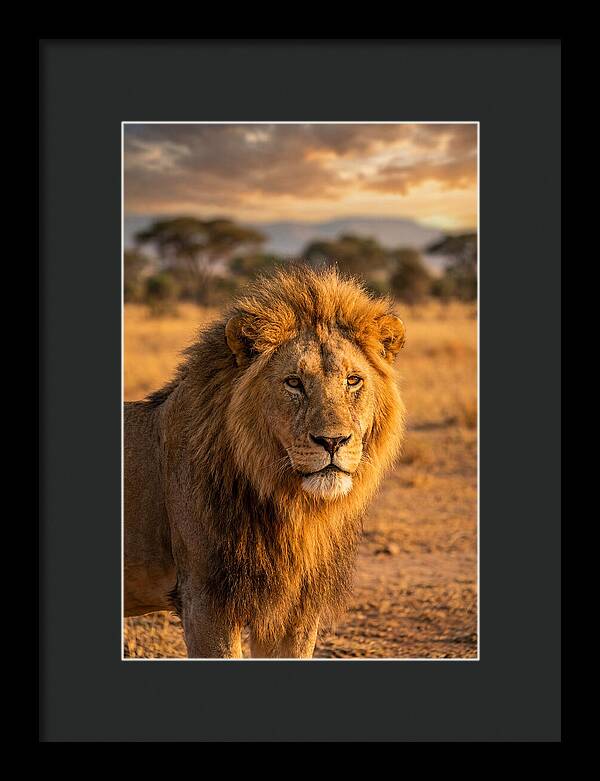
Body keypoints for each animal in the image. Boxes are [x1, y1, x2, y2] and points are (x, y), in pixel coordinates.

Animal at [124, 266, 406, 658]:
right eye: (294, 383)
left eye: (353, 381)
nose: (332, 441)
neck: (293, 508)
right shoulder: (205, 601)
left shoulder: (296, 609)